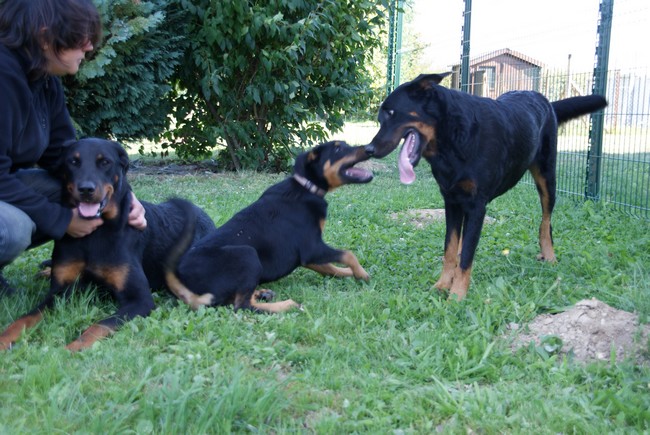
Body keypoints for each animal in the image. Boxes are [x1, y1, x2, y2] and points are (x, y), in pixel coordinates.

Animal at [0, 138, 215, 351]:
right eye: (73, 161)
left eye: (105, 162)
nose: (86, 189)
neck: (94, 235)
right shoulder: (59, 292)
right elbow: (25, 318)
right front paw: (4, 339)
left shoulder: (140, 300)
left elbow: (99, 325)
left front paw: (71, 350)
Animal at [164, 140, 373, 313]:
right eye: (338, 149)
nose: (370, 149)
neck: (305, 188)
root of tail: (181, 281)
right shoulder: (312, 248)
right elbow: (348, 254)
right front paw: (361, 274)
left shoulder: (307, 255)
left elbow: (330, 268)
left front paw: (351, 274)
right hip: (247, 254)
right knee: (242, 306)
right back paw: (286, 305)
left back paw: (263, 293)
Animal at [364, 73, 607, 300]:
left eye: (392, 113)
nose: (369, 149)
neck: (453, 140)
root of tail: (544, 99)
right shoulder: (451, 202)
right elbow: (451, 249)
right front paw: (442, 285)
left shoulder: (477, 207)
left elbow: (466, 258)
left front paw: (456, 296)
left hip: (547, 178)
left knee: (545, 222)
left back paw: (549, 255)